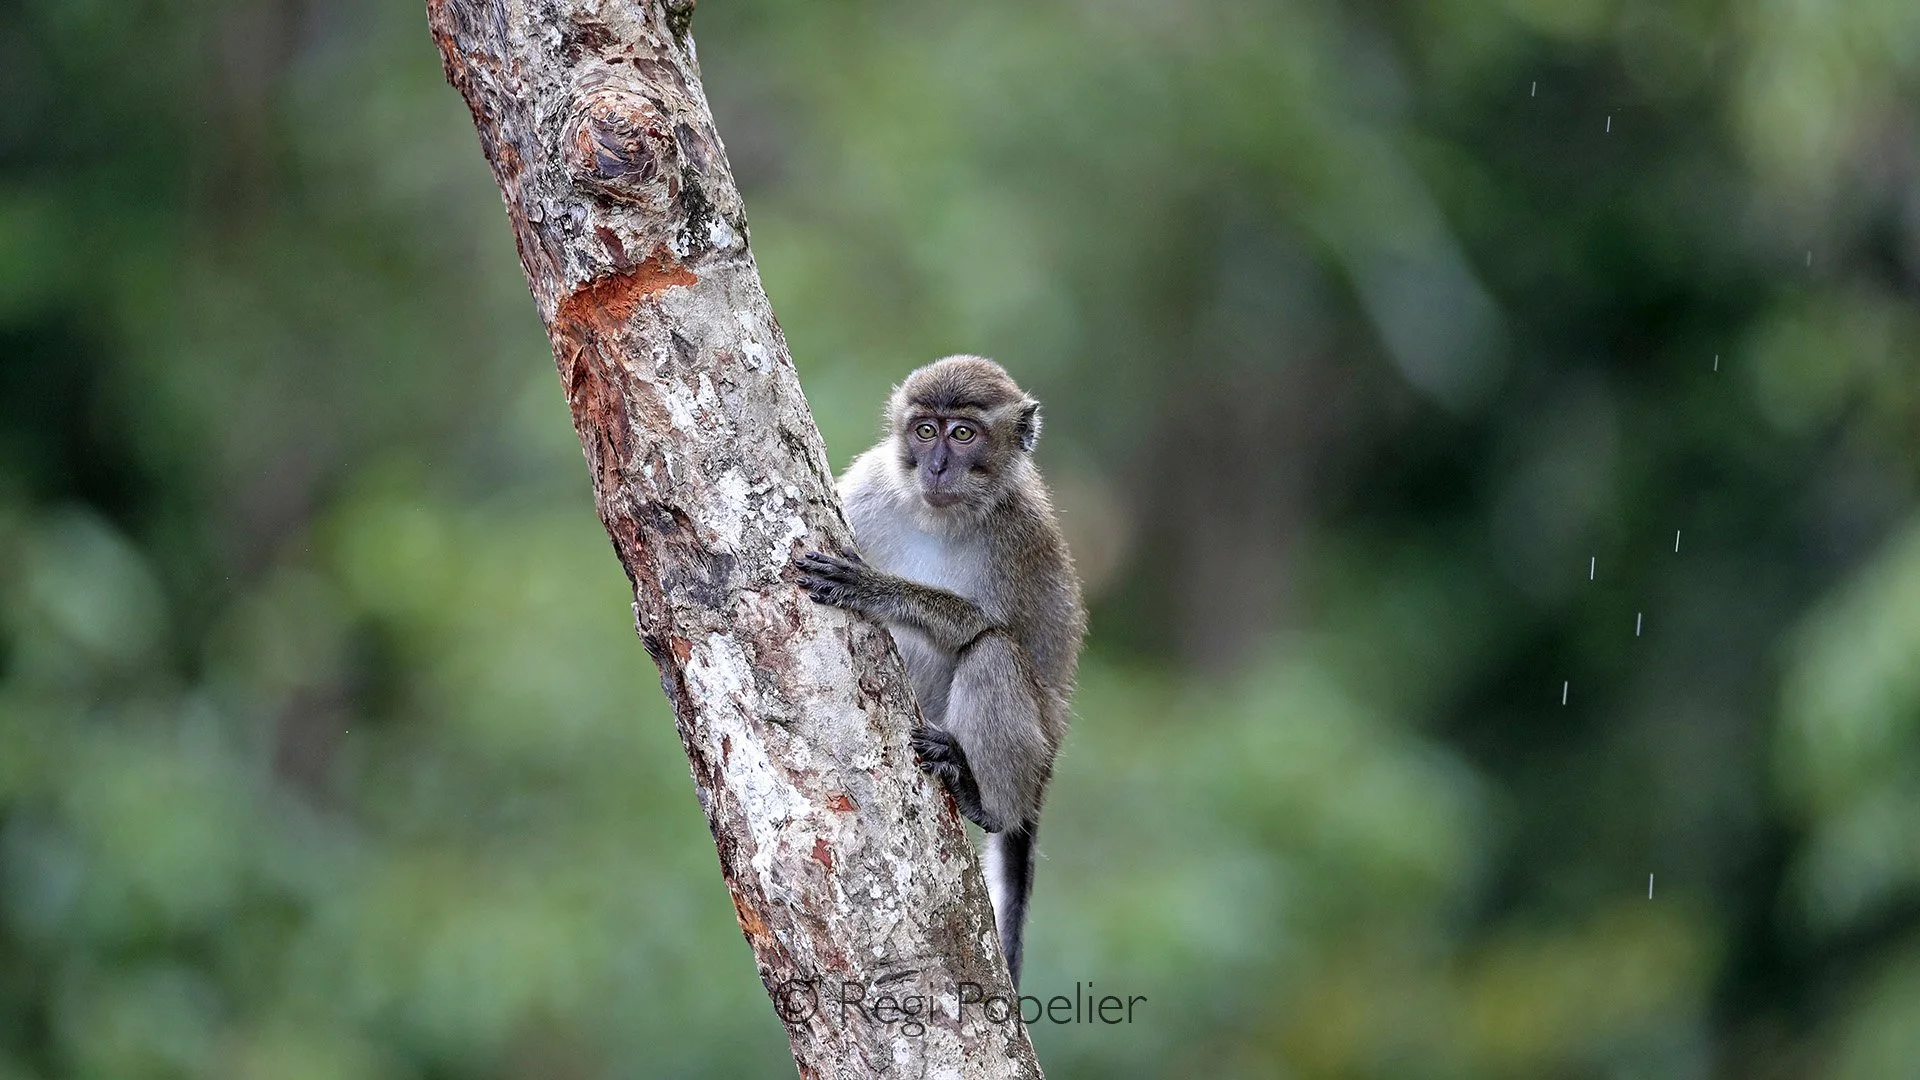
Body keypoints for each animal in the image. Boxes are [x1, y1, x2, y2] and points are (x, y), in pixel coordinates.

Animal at [794, 355, 1085, 988]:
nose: (936, 465)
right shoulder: (873, 481)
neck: (941, 516)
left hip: (1035, 751)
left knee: (993, 652)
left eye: (964, 433)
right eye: (926, 430)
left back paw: (986, 802)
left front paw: (881, 590)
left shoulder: (1018, 534)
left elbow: (978, 626)